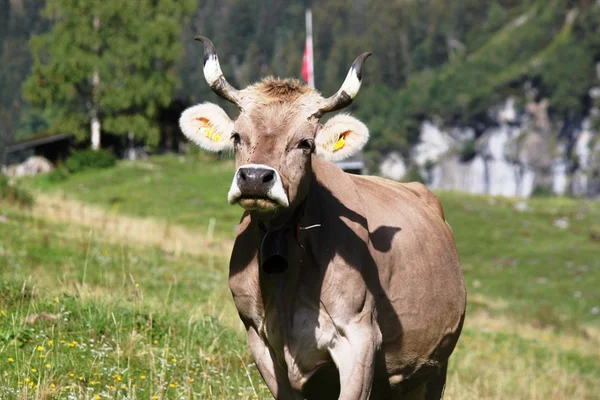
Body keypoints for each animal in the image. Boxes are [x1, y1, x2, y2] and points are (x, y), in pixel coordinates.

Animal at [180, 36, 466, 398]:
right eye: (236, 136)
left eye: (305, 143)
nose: (255, 178)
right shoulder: (259, 339)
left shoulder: (359, 339)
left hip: (435, 367)